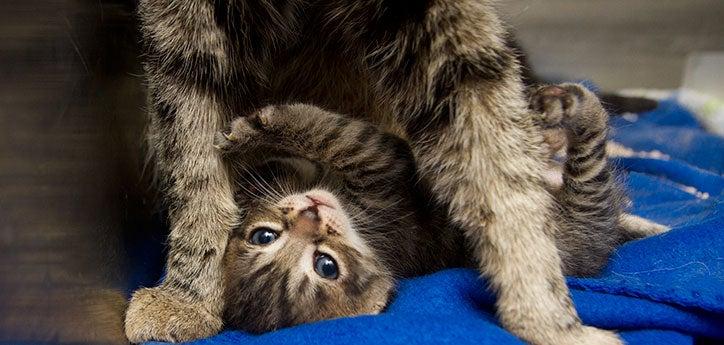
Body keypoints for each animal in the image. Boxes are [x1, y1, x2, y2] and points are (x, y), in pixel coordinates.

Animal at [126, 1, 640, 342]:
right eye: (324, 267)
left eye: (264, 235)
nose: (309, 215)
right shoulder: (380, 169)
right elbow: (194, 149)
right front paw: (190, 292)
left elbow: (491, 141)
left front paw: (548, 318)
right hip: (585, 205)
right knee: (591, 170)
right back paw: (574, 113)